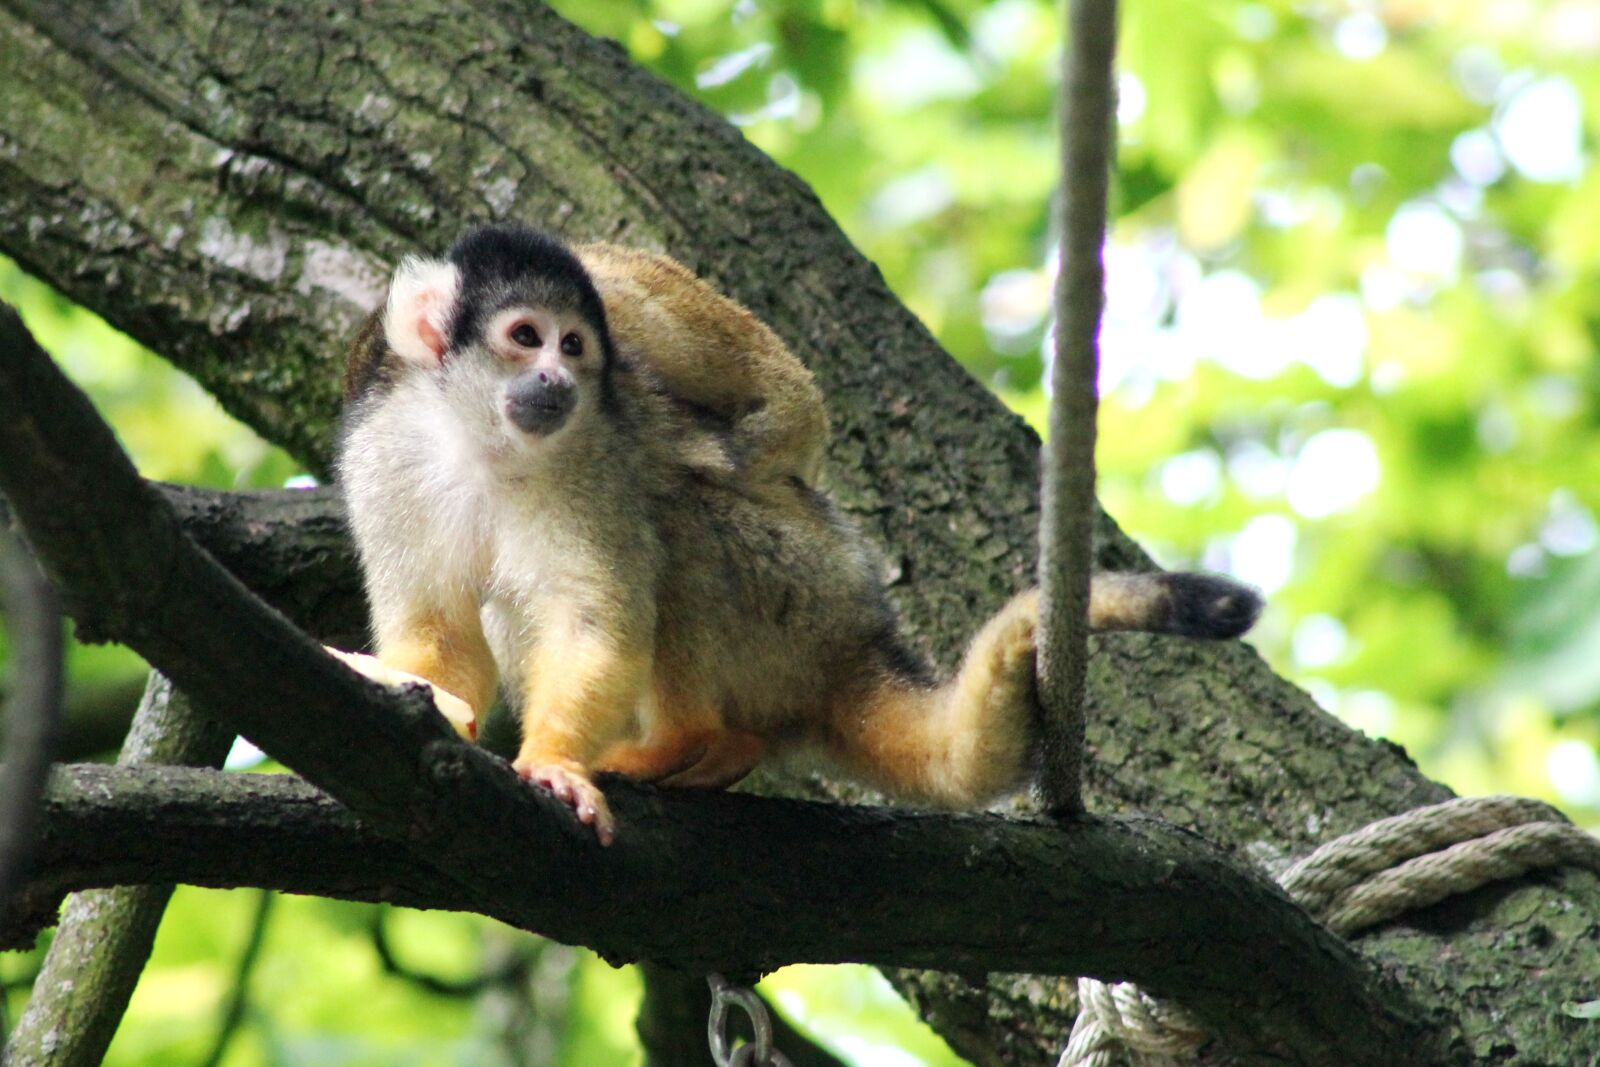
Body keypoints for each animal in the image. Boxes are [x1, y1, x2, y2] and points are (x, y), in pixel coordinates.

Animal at [334, 223, 1260, 844]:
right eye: (524, 338)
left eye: (573, 346)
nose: (560, 379)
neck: (486, 443)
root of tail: (857, 637)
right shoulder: (387, 454)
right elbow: (440, 636)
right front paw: (426, 697)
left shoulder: (594, 450)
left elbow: (599, 621)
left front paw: (555, 762)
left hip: (803, 592)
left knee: (682, 512)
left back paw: (695, 738)